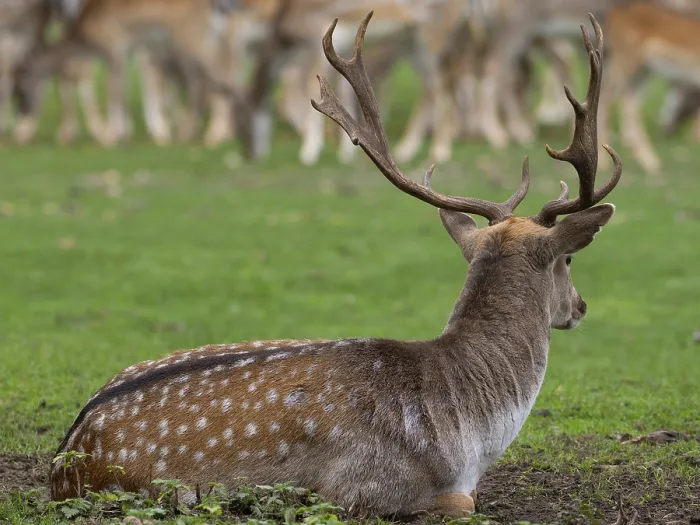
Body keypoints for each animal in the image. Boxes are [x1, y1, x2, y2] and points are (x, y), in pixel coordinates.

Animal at [49, 12, 621, 519]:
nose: (581, 307)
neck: (473, 435)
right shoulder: (367, 488)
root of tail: (62, 460)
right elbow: (462, 503)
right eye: (569, 258)